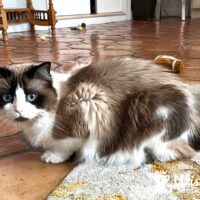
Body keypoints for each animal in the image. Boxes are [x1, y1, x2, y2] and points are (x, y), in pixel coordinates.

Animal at [0, 57, 199, 166]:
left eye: (31, 97)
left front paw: (52, 157)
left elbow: (63, 148)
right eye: (7, 98)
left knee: (177, 152)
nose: (18, 110)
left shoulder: (88, 107)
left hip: (147, 109)